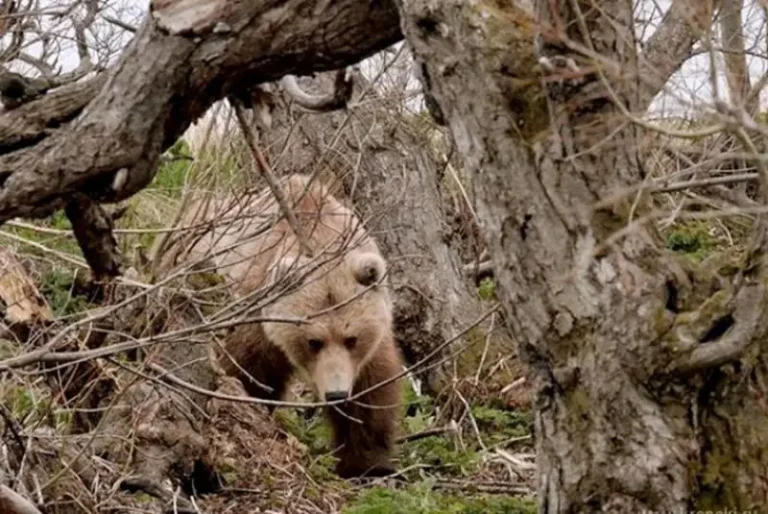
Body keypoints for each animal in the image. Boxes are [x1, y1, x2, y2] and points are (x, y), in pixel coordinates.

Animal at [172, 173, 404, 479]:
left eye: (352, 338)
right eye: (313, 341)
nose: (336, 394)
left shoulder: (371, 341)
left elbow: (372, 390)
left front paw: (368, 462)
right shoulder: (254, 313)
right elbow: (247, 373)